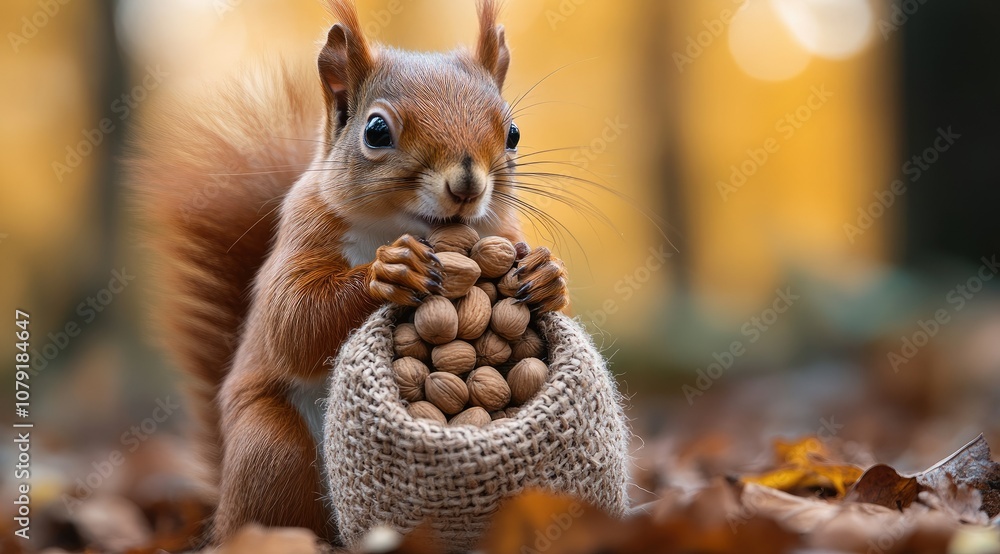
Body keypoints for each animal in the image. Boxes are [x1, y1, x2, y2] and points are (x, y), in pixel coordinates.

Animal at [129, 0, 569, 544]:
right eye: (376, 131)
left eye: (513, 133)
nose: (467, 184)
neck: (401, 228)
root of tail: (222, 509)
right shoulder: (304, 229)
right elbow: (294, 320)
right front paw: (392, 273)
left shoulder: (502, 232)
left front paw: (547, 275)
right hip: (270, 448)